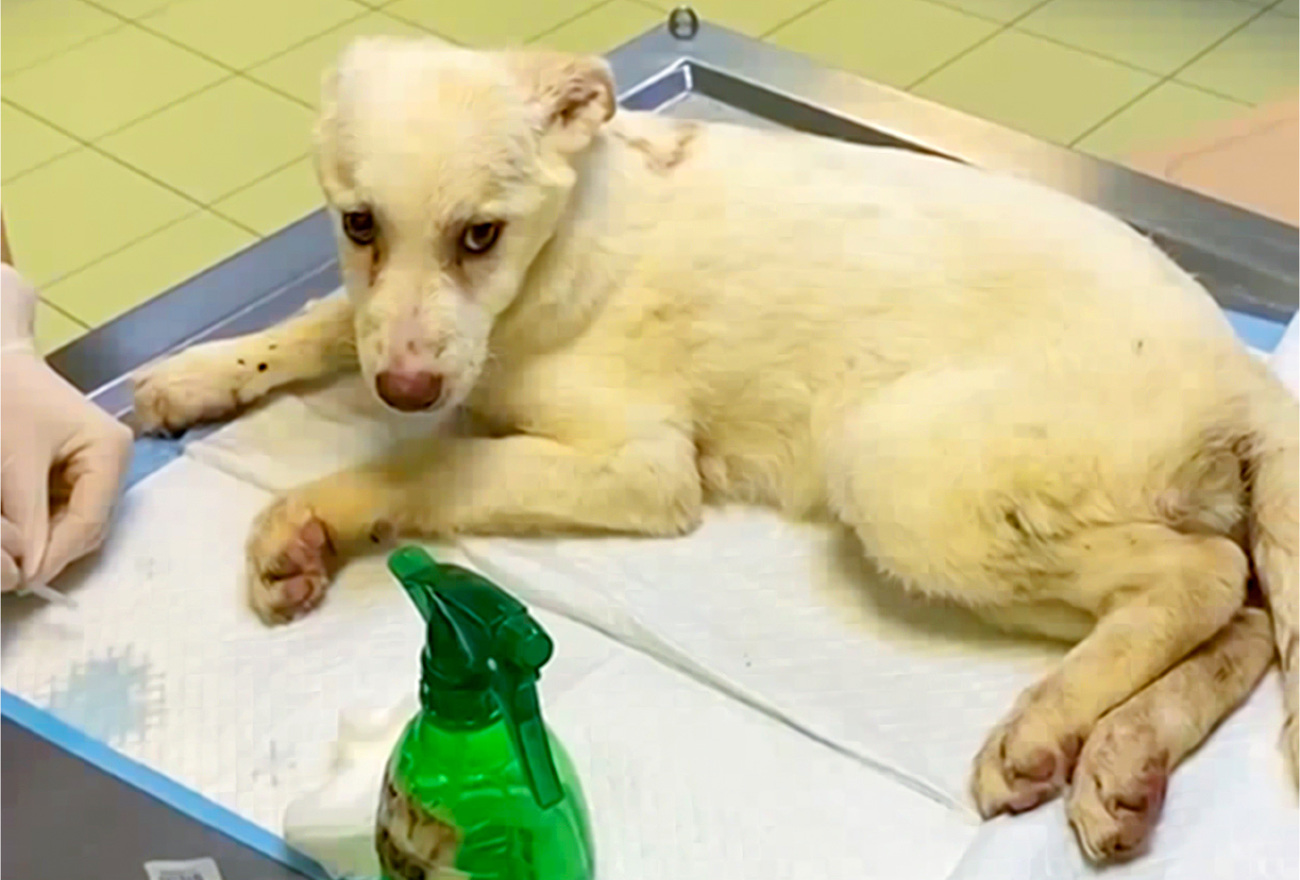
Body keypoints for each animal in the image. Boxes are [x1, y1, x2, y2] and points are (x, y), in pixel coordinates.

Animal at [134, 39, 1300, 857]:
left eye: (481, 235)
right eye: (358, 224)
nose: (407, 391)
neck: (560, 252)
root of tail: (1242, 376)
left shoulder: (642, 467)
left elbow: (429, 465)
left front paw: (309, 519)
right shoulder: (411, 341)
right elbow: (330, 323)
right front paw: (203, 372)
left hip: (904, 476)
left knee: (1201, 576)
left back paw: (1049, 726)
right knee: (1243, 614)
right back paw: (1125, 761)